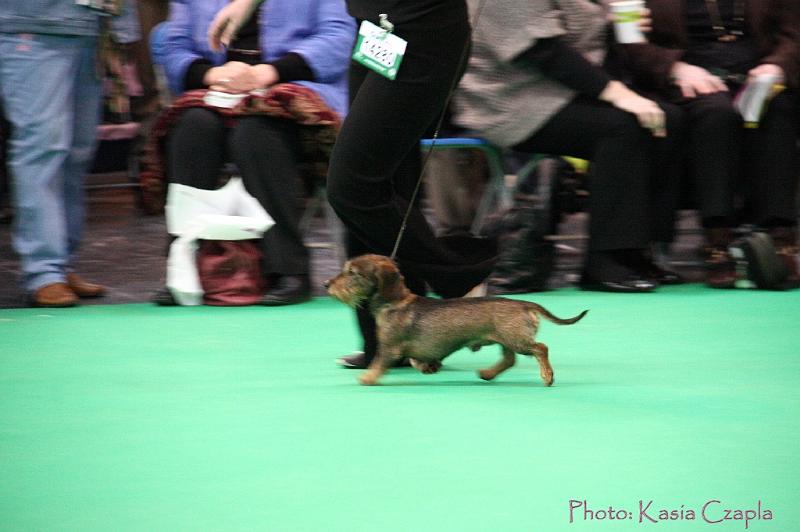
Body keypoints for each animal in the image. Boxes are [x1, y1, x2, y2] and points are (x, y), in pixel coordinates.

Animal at [324, 255, 588, 384]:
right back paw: (487, 374)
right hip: (505, 340)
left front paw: (367, 378)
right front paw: (427, 367)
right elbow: (416, 360)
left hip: (517, 340)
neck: (395, 302)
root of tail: (523, 303)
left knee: (541, 348)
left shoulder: (390, 347)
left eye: (352, 273)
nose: (326, 284)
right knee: (509, 360)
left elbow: (379, 362)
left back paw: (547, 376)